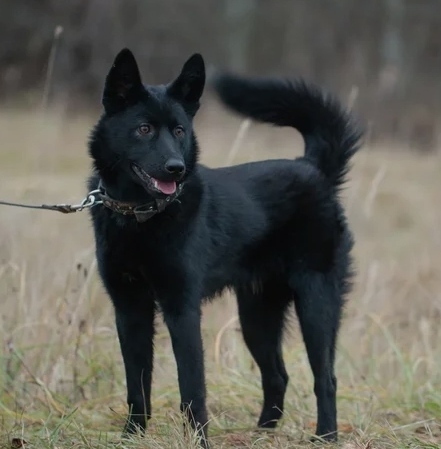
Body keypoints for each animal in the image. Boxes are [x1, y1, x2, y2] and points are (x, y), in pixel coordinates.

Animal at [87, 47, 360, 446]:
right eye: (144, 129)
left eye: (180, 131)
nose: (176, 168)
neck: (140, 215)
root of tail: (313, 168)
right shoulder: (129, 308)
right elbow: (137, 384)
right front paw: (132, 435)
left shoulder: (182, 309)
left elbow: (191, 388)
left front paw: (199, 441)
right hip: (256, 316)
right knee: (277, 375)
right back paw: (262, 432)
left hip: (316, 304)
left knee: (326, 377)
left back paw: (325, 436)